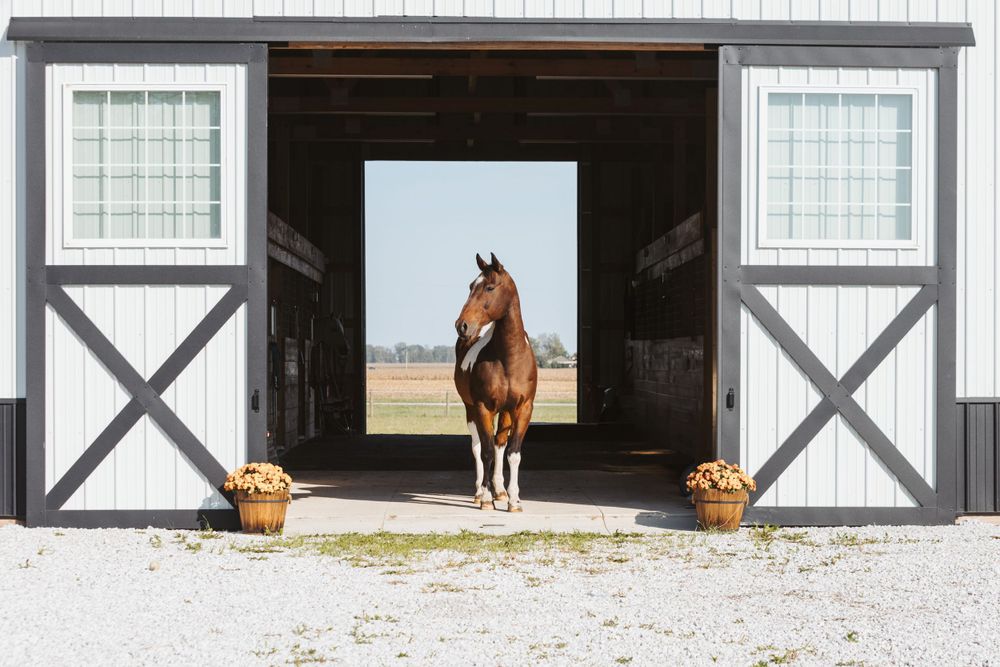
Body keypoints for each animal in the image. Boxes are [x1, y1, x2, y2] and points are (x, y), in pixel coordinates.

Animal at [454, 253, 538, 512]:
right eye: (471, 286)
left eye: (489, 287)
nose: (462, 325)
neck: (508, 358)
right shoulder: (483, 407)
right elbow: (486, 452)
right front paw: (486, 499)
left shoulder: (523, 408)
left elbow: (512, 452)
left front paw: (513, 499)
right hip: (470, 409)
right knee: (478, 446)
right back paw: (480, 492)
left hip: (506, 411)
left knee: (500, 443)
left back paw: (500, 490)